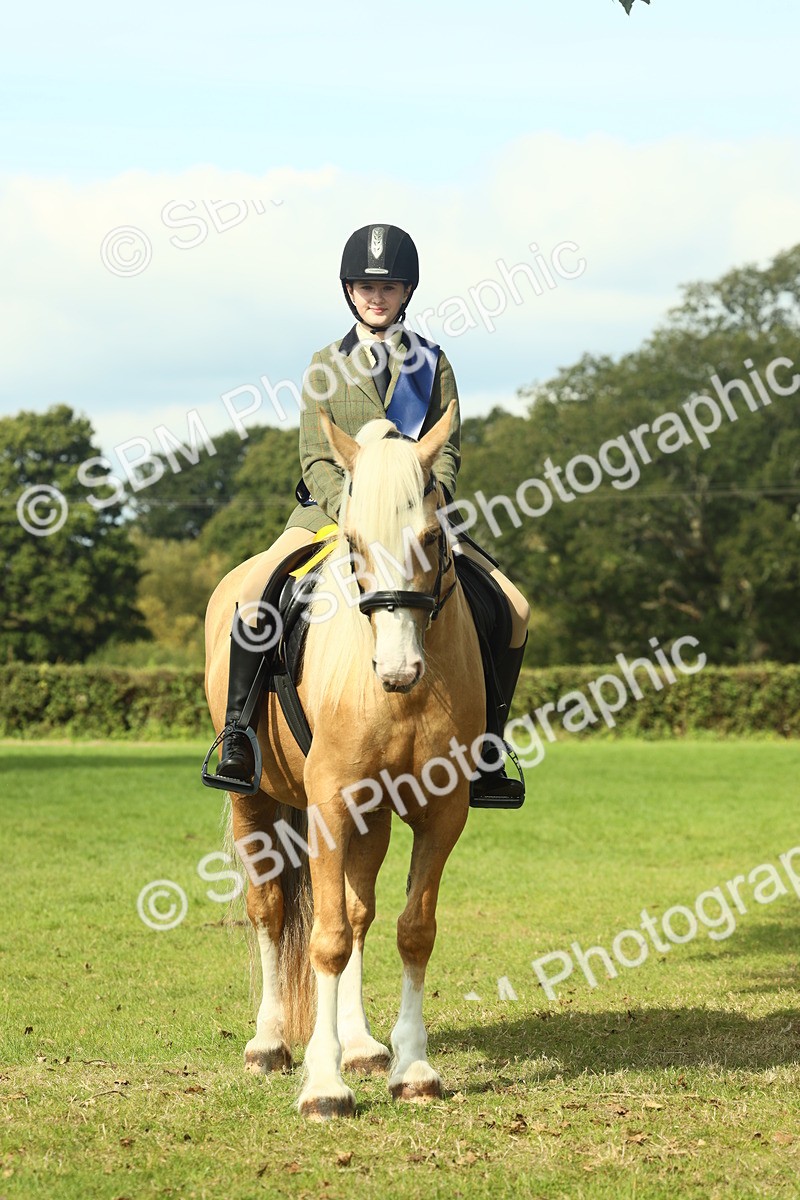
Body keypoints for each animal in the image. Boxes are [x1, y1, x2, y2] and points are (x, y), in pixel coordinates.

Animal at [204, 400, 485, 1119]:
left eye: (432, 540)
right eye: (353, 544)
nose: (398, 670)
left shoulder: (442, 810)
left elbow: (412, 930)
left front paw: (413, 1070)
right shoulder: (327, 805)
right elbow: (323, 939)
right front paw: (324, 1085)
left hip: (372, 816)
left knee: (359, 915)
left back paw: (360, 1045)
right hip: (254, 801)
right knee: (271, 910)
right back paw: (270, 1043)